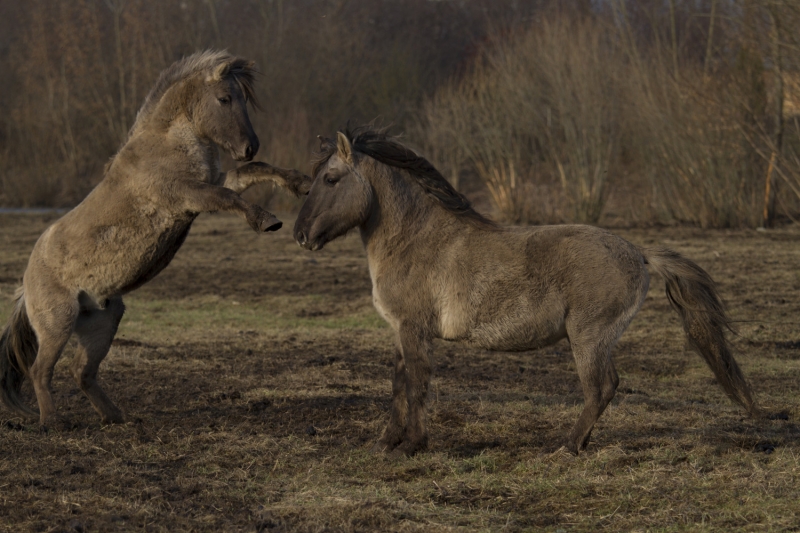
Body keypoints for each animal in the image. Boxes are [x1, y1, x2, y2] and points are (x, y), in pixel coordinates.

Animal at [0, 51, 312, 428]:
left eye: (243, 98)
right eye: (225, 98)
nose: (249, 146)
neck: (167, 143)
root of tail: (25, 285)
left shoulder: (215, 179)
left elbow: (254, 172)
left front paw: (302, 183)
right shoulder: (187, 195)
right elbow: (229, 197)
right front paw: (267, 221)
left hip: (103, 321)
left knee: (81, 371)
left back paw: (116, 417)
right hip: (58, 323)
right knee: (40, 371)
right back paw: (53, 423)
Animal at [296, 125, 760, 458]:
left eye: (332, 178)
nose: (301, 234)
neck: (415, 240)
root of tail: (640, 254)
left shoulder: (413, 329)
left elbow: (416, 385)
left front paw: (411, 446)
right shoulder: (399, 331)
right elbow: (397, 385)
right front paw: (386, 442)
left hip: (589, 337)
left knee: (601, 387)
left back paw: (566, 447)